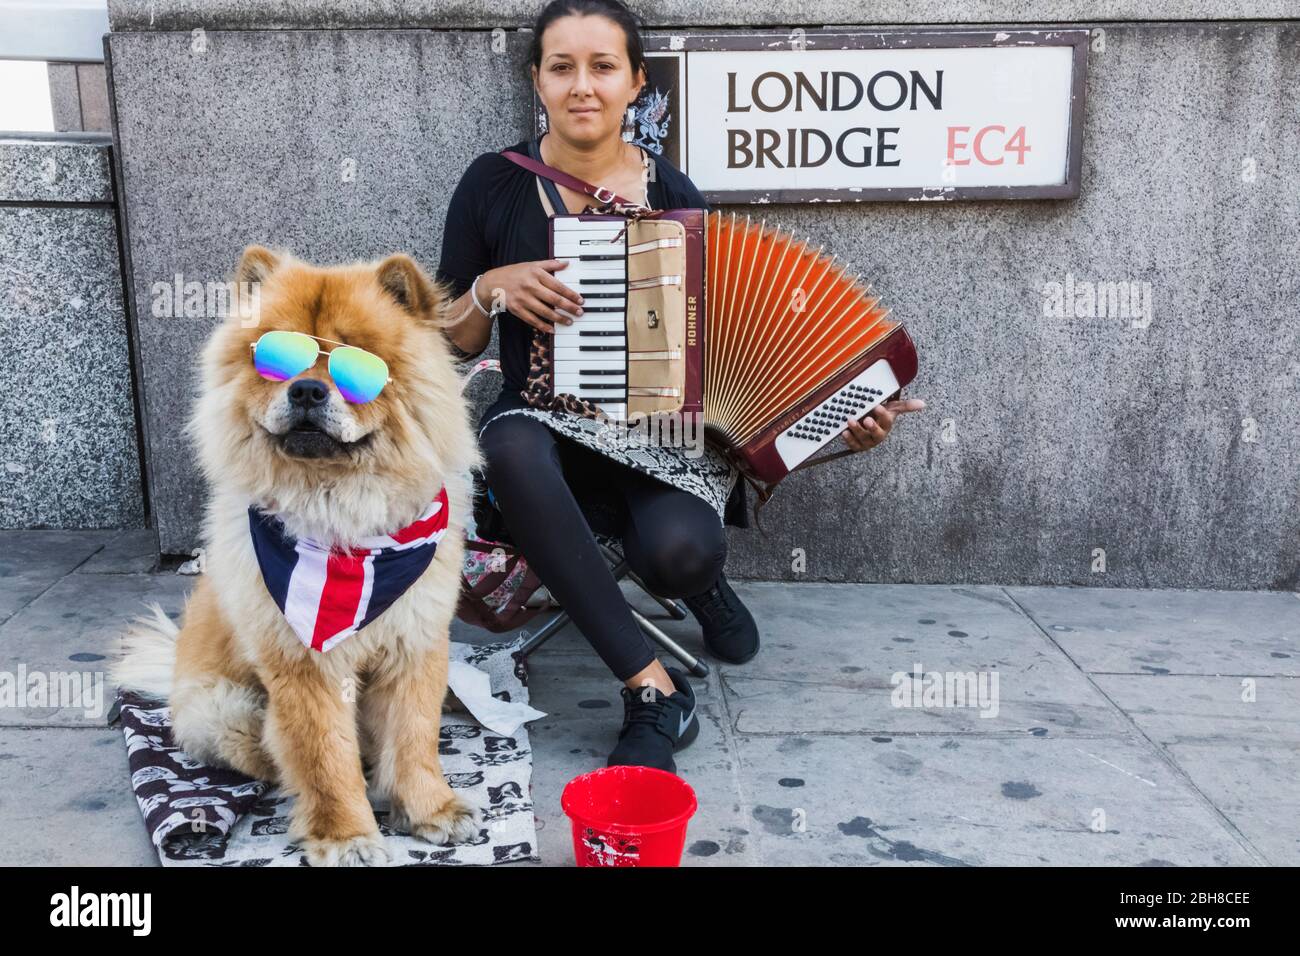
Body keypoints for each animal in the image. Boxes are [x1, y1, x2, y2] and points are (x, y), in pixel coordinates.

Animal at [110, 247, 483, 868]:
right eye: (276, 359)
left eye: (357, 362)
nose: (307, 391)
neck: (345, 526)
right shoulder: (304, 663)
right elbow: (322, 756)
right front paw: (346, 836)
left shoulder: (416, 640)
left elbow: (415, 735)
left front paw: (431, 809)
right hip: (228, 708)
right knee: (274, 754)